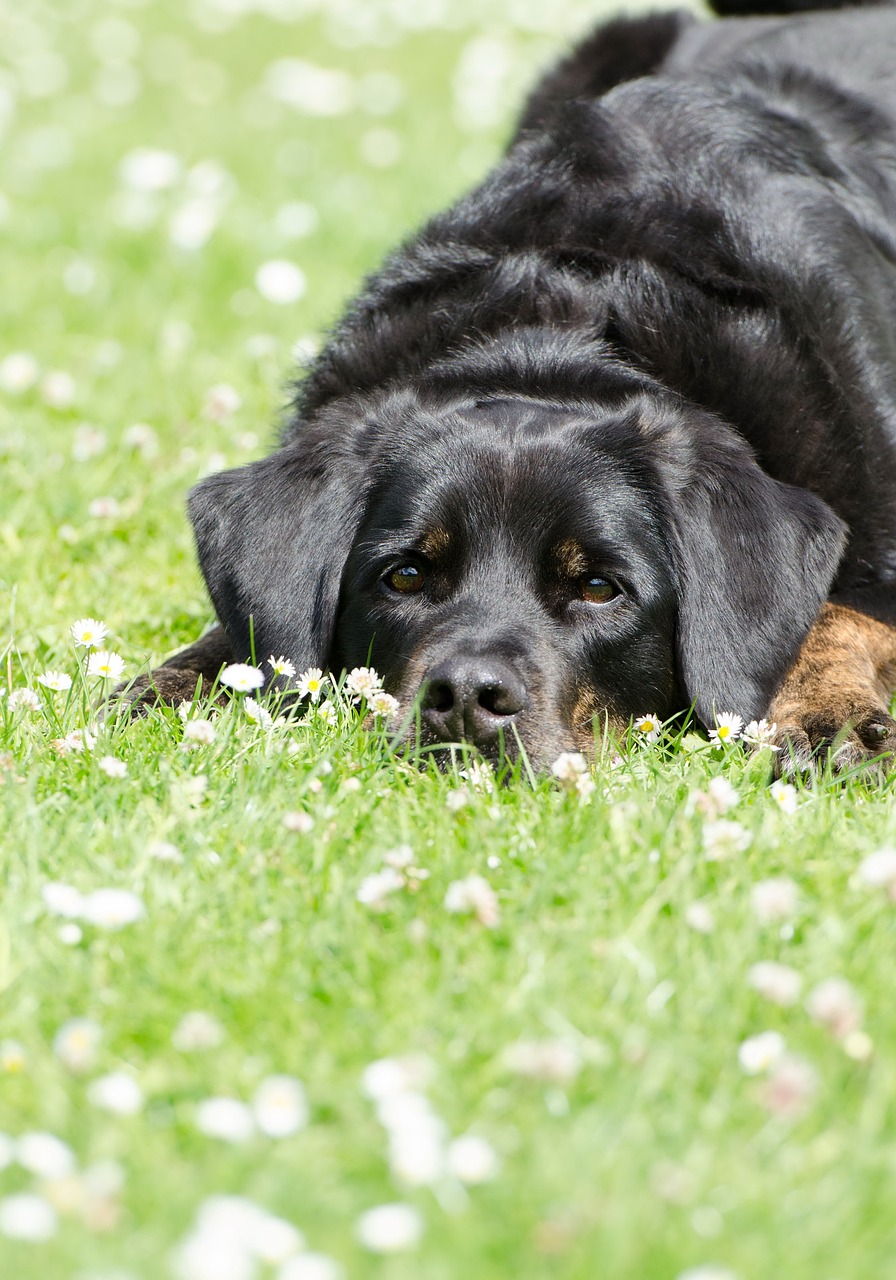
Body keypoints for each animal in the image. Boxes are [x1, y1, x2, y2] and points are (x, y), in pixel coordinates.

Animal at [128, 0, 896, 768]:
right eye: (404, 575)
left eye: (599, 588)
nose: (468, 695)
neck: (554, 333)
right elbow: (248, 633)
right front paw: (169, 689)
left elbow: (831, 615)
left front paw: (828, 715)